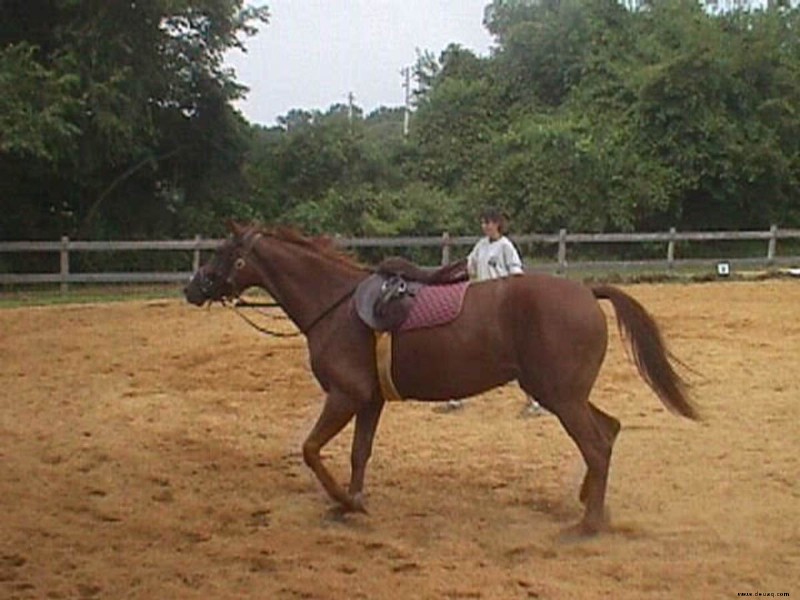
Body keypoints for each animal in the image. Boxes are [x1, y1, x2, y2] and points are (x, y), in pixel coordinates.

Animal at [184, 220, 696, 536]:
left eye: (225, 252)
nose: (191, 288)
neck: (337, 305)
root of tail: (587, 292)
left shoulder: (345, 396)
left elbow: (311, 449)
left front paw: (344, 501)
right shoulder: (369, 401)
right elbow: (358, 453)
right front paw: (353, 502)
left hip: (560, 397)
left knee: (596, 444)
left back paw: (587, 525)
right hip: (561, 393)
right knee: (608, 431)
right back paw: (593, 504)